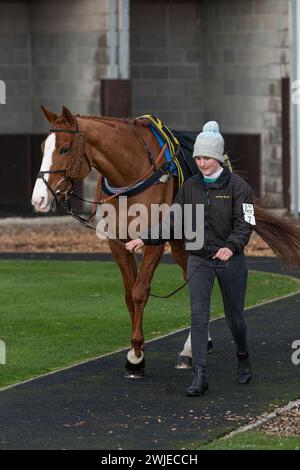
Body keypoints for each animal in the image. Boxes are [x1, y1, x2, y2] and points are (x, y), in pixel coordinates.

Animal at [31, 105, 300, 378]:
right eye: (43, 147)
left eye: (64, 149)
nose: (39, 199)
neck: (130, 175)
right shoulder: (118, 244)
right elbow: (129, 295)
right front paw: (137, 350)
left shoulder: (154, 243)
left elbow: (139, 292)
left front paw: (136, 357)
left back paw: (189, 351)